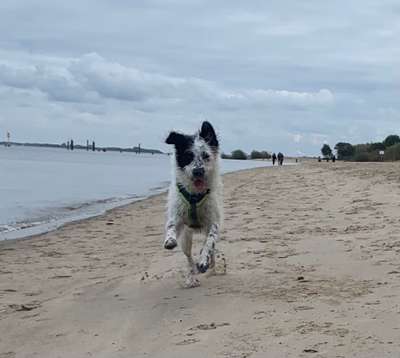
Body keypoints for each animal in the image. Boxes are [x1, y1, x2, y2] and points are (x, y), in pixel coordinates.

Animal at [164, 121, 223, 286]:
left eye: (205, 156)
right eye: (188, 156)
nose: (198, 171)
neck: (195, 196)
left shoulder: (213, 221)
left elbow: (210, 241)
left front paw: (204, 261)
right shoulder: (177, 216)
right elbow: (171, 225)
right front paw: (169, 239)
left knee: (210, 248)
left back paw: (210, 265)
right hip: (186, 238)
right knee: (188, 257)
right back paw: (191, 276)